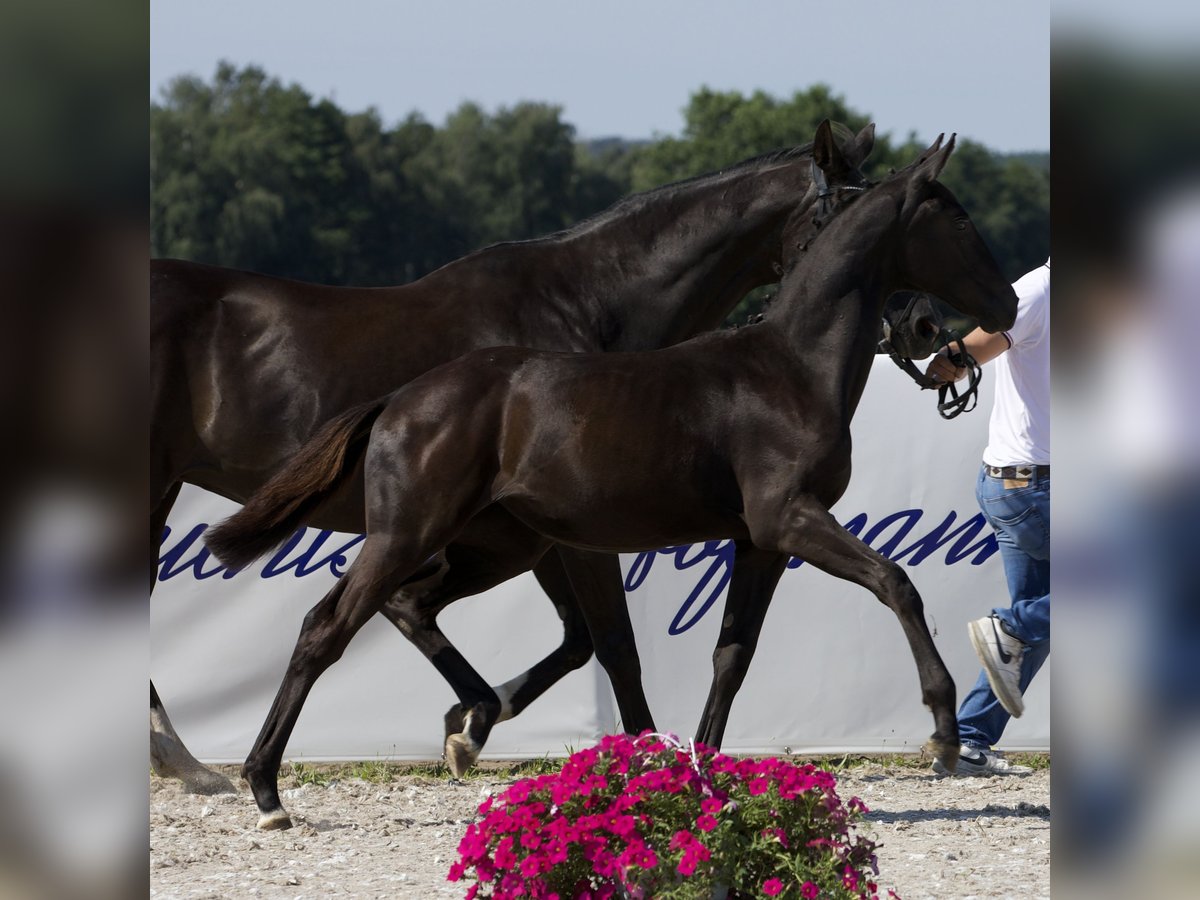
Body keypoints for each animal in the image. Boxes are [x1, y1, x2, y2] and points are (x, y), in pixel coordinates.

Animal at [211, 133, 1017, 830]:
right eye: (957, 216)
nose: (1001, 306)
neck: (789, 368)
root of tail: (400, 398)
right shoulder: (790, 517)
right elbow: (895, 583)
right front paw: (943, 731)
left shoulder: (760, 541)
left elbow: (731, 655)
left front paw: (699, 775)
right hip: (411, 533)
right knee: (325, 628)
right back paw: (265, 788)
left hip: (494, 548)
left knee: (406, 607)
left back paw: (462, 726)